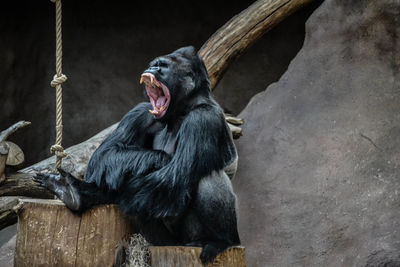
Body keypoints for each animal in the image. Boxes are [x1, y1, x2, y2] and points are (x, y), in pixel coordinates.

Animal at [34, 46, 241, 266]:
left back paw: (219, 241)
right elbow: (105, 155)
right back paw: (73, 193)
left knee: (207, 179)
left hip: (200, 239)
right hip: (164, 242)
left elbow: (174, 176)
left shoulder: (204, 119)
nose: (152, 69)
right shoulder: (142, 111)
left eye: (163, 66)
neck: (182, 111)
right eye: (154, 64)